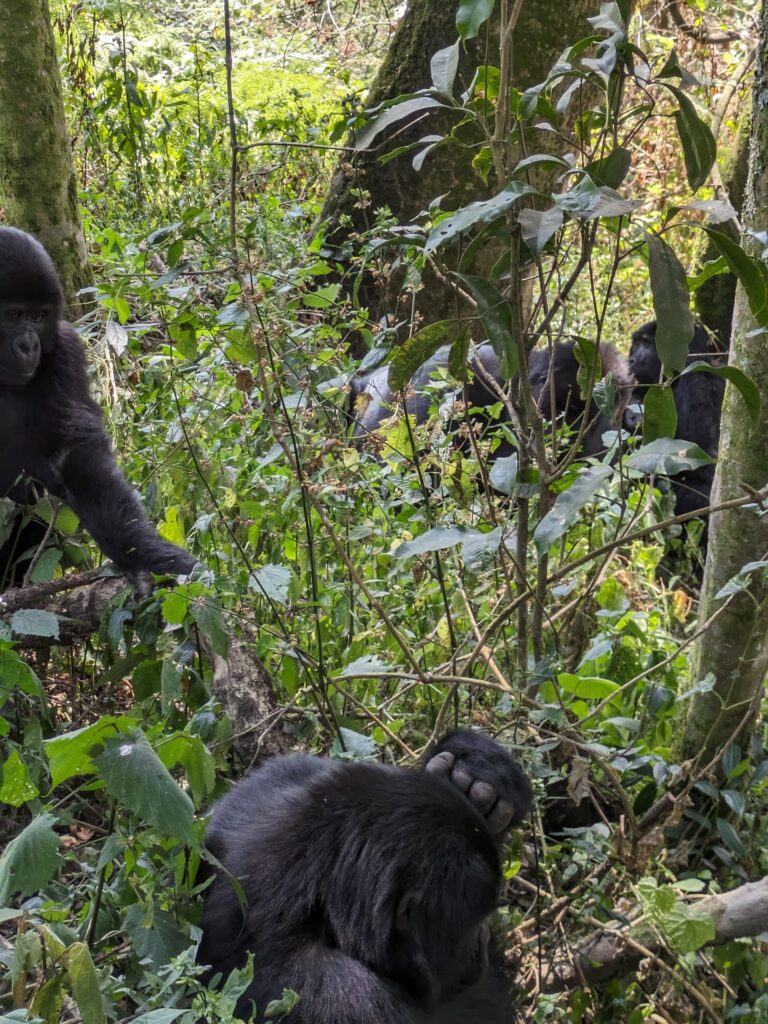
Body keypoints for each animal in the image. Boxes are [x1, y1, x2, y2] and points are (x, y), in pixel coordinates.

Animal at [0, 228, 196, 589]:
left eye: (39, 316)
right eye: (12, 315)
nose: (29, 346)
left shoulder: (63, 347)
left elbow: (75, 454)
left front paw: (144, 558)